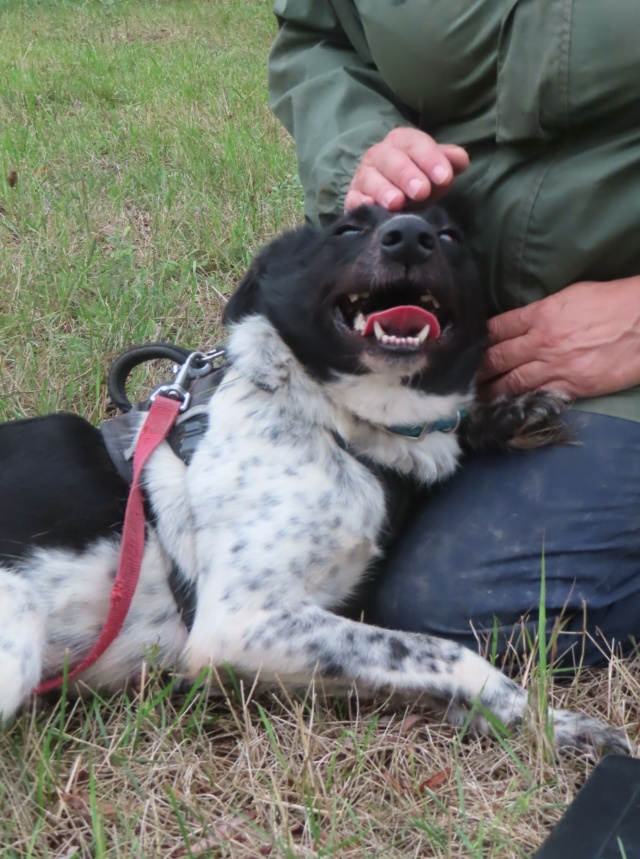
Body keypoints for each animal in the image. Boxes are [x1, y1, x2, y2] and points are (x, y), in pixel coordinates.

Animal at [0, 203, 632, 752]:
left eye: (450, 234)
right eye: (347, 229)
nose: (409, 237)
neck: (331, 423)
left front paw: (509, 417)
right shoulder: (239, 623)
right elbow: (446, 653)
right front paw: (548, 719)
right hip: (19, 628)